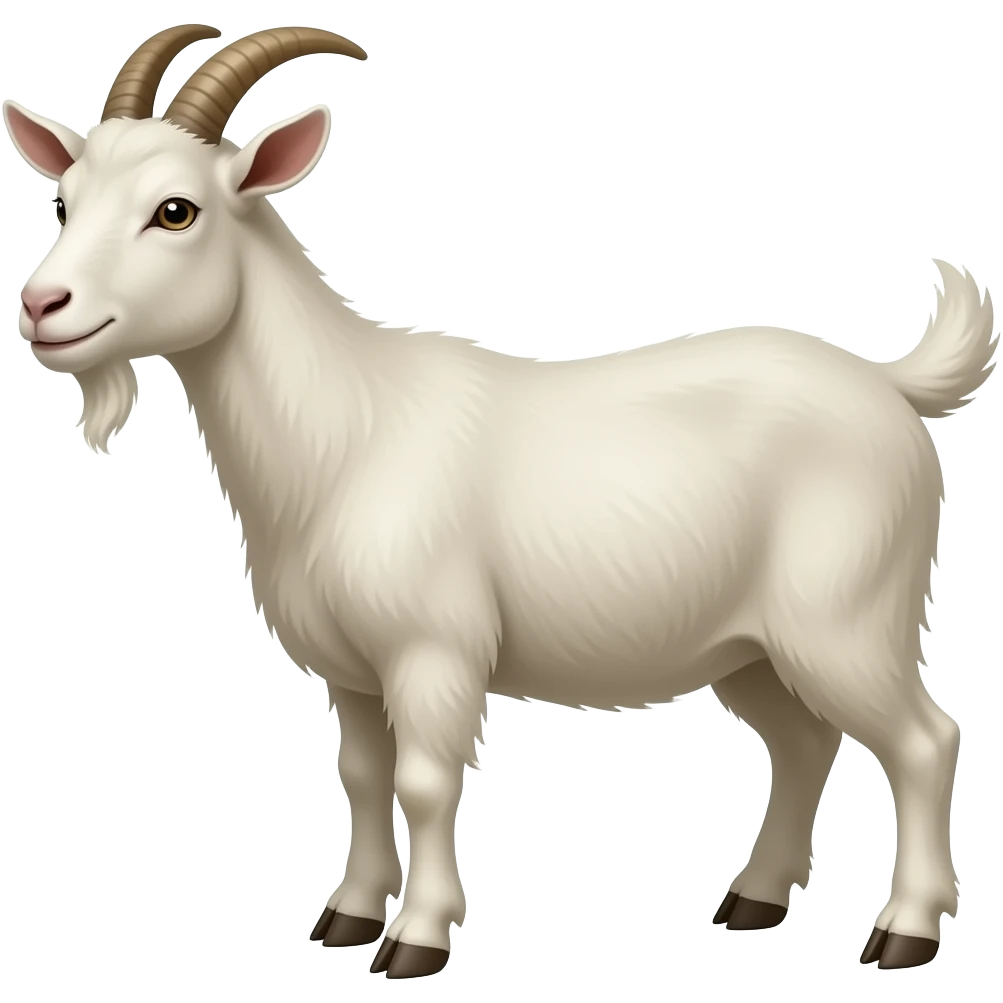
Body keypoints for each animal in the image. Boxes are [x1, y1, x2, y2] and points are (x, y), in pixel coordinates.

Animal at [5, 23, 995, 980]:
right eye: (65, 202)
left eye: (176, 210)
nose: (43, 305)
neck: (344, 430)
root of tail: (890, 388)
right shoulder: (350, 668)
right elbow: (360, 774)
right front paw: (348, 916)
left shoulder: (433, 650)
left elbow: (424, 781)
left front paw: (416, 939)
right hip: (752, 644)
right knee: (802, 742)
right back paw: (753, 898)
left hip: (847, 617)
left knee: (924, 740)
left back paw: (904, 932)